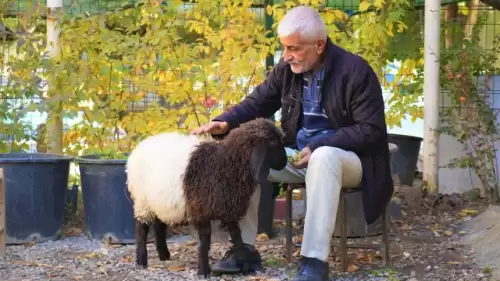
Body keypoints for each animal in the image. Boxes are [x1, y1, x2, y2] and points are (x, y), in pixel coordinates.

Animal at [127, 117, 288, 276]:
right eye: (273, 142)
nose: (285, 161)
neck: (225, 164)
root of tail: (141, 145)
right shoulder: (201, 210)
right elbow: (205, 242)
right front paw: (203, 271)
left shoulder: (228, 207)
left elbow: (236, 235)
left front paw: (242, 257)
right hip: (142, 202)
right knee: (142, 228)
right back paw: (141, 260)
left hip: (160, 201)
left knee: (159, 225)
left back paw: (163, 255)